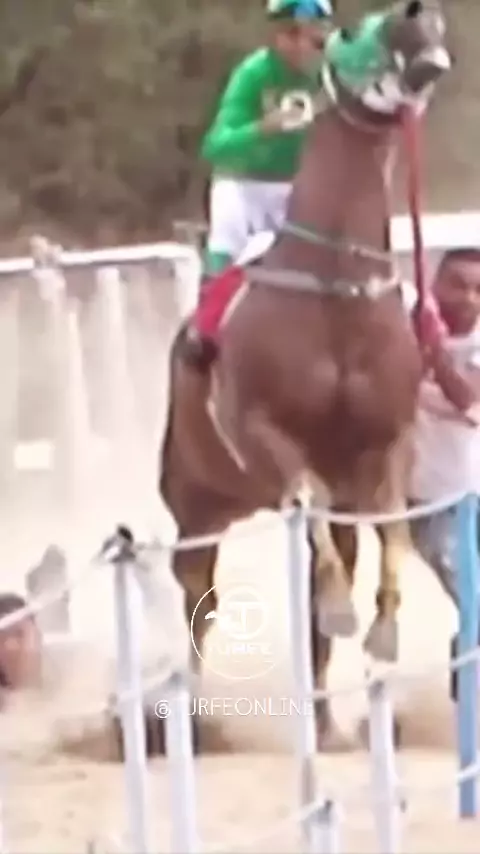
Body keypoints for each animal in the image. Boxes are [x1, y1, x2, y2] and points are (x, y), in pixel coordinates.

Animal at [159, 0, 452, 748]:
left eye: (436, 30)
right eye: (351, 31)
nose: (419, 27)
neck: (332, 290)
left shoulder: (386, 443)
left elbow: (391, 533)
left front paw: (380, 632)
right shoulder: (266, 434)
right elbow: (308, 503)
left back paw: (324, 722)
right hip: (194, 497)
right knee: (197, 593)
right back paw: (190, 716)